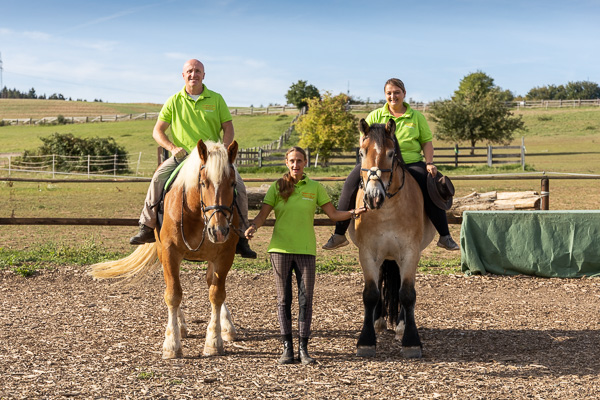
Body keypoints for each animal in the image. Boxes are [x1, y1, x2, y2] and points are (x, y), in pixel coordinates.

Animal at [89, 141, 239, 360]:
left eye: (233, 184)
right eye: (203, 183)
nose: (219, 231)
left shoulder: (225, 254)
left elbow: (217, 294)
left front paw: (214, 341)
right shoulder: (169, 252)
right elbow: (173, 294)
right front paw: (172, 344)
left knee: (211, 283)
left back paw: (226, 325)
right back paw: (181, 326)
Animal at [346, 118, 436, 356]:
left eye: (391, 153)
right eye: (361, 152)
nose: (373, 197)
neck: (386, 211)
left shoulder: (410, 253)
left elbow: (407, 294)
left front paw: (411, 341)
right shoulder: (367, 253)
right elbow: (370, 293)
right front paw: (366, 341)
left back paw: (402, 325)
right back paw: (377, 321)